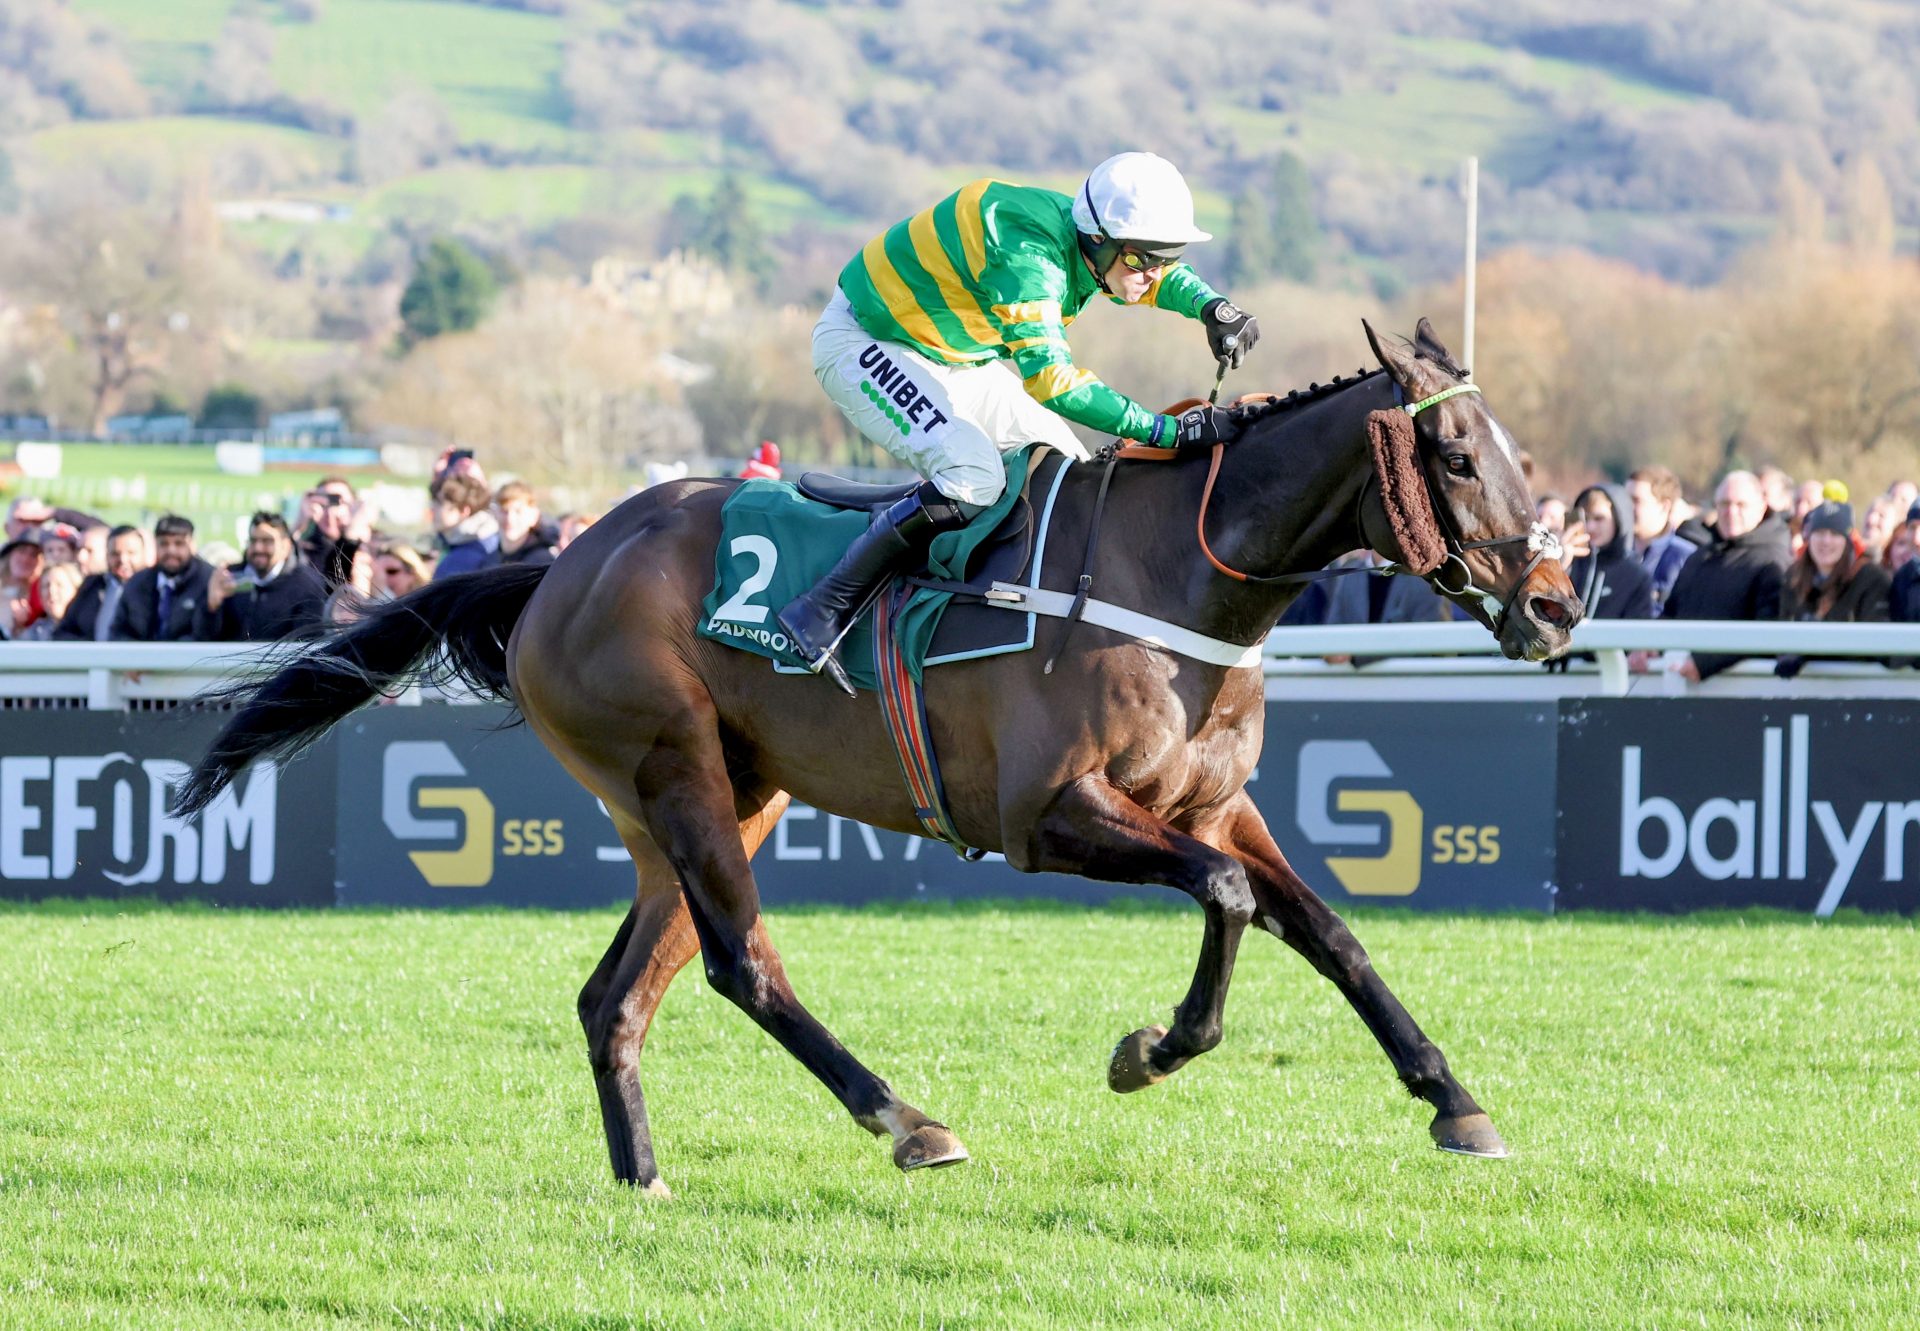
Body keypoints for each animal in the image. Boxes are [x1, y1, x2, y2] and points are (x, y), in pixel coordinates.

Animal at [176, 322, 1574, 1190]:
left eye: (1521, 453)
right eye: (1457, 456)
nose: (1559, 603)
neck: (1175, 579)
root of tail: (563, 560)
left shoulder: (1216, 806)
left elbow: (1328, 928)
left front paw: (1453, 1099)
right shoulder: (1046, 816)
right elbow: (1228, 902)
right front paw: (1152, 1048)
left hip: (717, 798)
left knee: (617, 995)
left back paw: (643, 1173)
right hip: (676, 769)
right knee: (742, 963)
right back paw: (906, 1119)